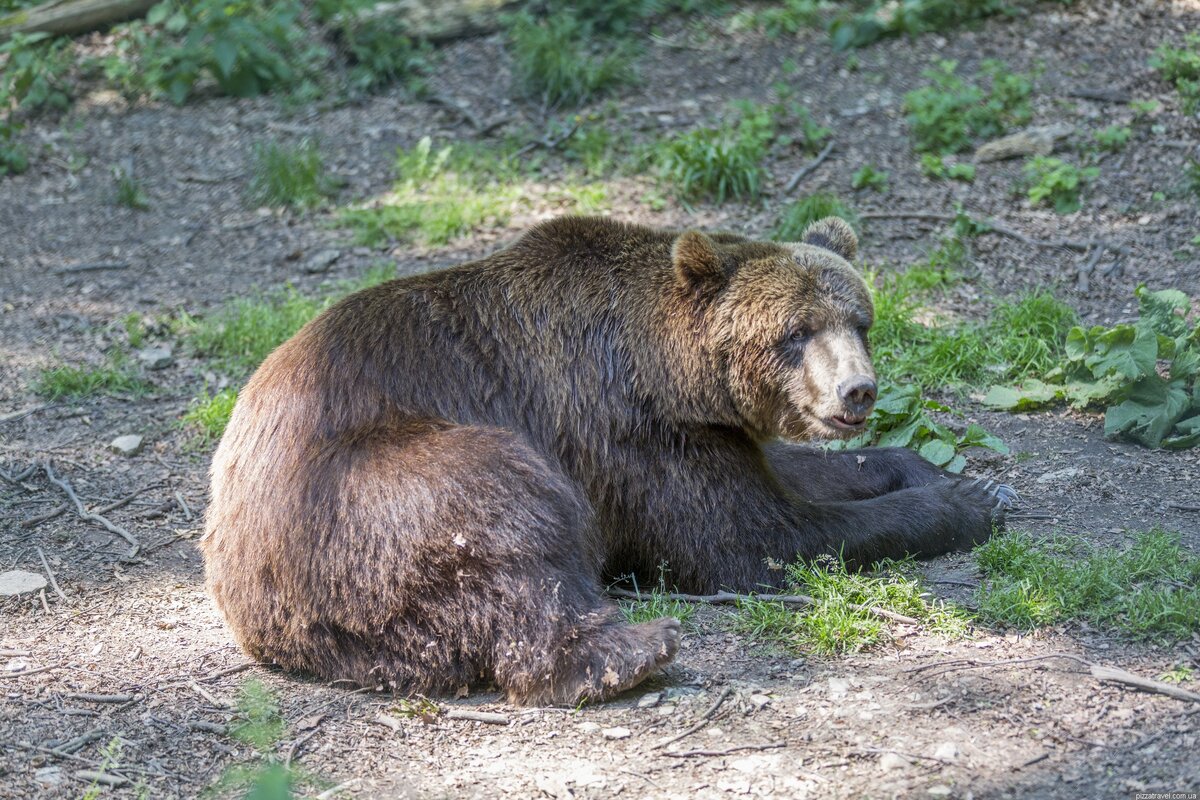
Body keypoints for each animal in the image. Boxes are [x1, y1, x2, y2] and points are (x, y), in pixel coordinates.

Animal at [201, 214, 1017, 705]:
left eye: (859, 320)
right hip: (365, 487)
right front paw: (960, 507)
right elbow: (754, 540)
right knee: (505, 515)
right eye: (795, 332)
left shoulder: (709, 434)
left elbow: (793, 475)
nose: (857, 390)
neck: (667, 372)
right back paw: (631, 650)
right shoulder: (627, 435)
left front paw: (949, 475)